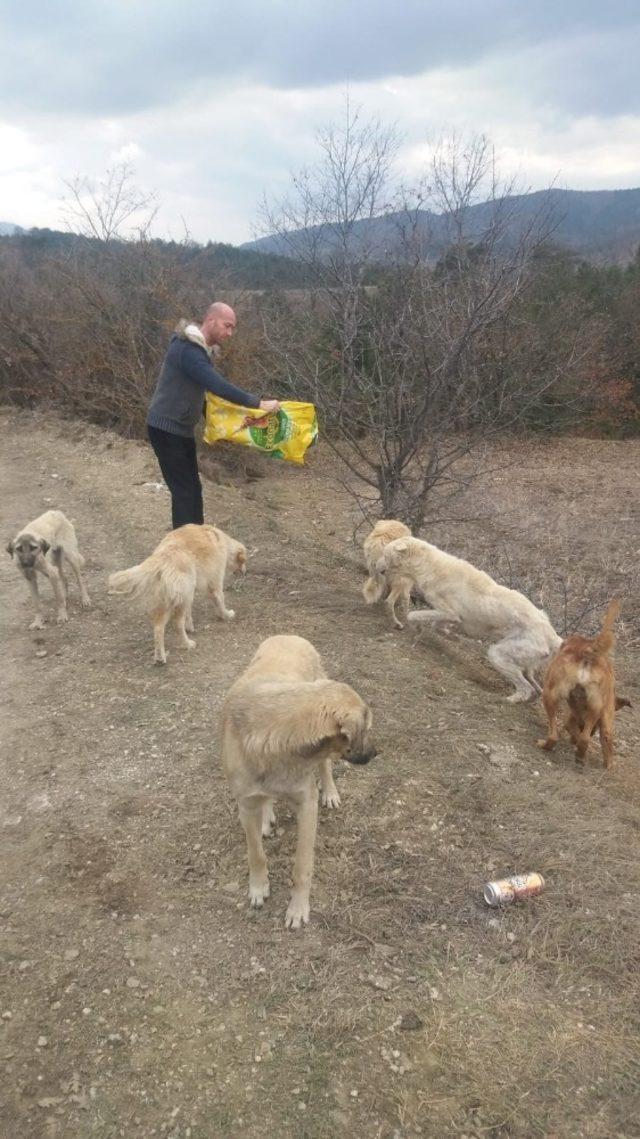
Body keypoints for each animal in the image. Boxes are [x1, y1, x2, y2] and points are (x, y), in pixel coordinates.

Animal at [107, 521, 247, 665]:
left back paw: (160, 657)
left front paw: (190, 626)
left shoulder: (189, 592)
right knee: (177, 624)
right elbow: (220, 600)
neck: (221, 540)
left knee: (158, 629)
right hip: (180, 599)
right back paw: (187, 644)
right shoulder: (214, 583)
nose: (245, 571)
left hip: (170, 601)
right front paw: (226, 615)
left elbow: (189, 613)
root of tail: (161, 559)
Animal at [222, 637, 375, 929]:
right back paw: (266, 817)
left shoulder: (307, 805)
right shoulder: (245, 805)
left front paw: (298, 908)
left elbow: (302, 866)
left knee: (324, 766)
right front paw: (258, 887)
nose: (376, 753)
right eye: (367, 728)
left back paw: (330, 792)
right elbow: (255, 853)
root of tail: (289, 635)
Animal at [373, 535, 558, 701]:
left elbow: (413, 615)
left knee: (526, 689)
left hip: (497, 654)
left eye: (385, 553)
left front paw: (418, 628)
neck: (429, 565)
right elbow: (436, 626)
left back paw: (508, 700)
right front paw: (450, 636)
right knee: (532, 683)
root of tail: (552, 635)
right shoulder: (451, 617)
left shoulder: (448, 612)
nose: (375, 565)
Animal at [532, 601, 628, 769]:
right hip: (596, 708)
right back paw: (585, 758)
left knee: (554, 735)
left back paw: (545, 745)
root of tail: (587, 650)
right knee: (588, 739)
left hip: (549, 693)